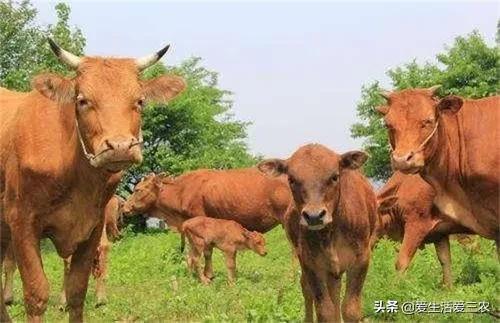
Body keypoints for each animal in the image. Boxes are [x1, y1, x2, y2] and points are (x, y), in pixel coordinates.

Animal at [0, 39, 186, 322]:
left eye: (140, 100)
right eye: (82, 100)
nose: (120, 147)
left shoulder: (93, 226)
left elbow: (77, 291)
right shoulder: (21, 223)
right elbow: (36, 293)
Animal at [260, 144, 376, 323]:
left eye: (334, 177)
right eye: (291, 179)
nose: (314, 216)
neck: (331, 233)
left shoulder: (361, 259)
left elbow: (351, 309)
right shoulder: (311, 263)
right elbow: (324, 310)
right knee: (308, 290)